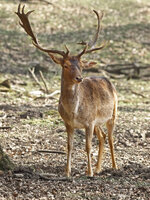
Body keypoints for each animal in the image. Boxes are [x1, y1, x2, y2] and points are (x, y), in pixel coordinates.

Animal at [15, 4, 118, 177]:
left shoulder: (89, 122)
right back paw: (98, 168)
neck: (73, 111)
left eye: (81, 65)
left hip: (113, 113)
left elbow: (87, 147)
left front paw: (89, 173)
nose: (79, 78)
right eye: (65, 65)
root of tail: (108, 81)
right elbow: (69, 146)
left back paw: (114, 167)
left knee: (110, 138)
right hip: (98, 122)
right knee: (102, 136)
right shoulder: (68, 123)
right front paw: (68, 171)